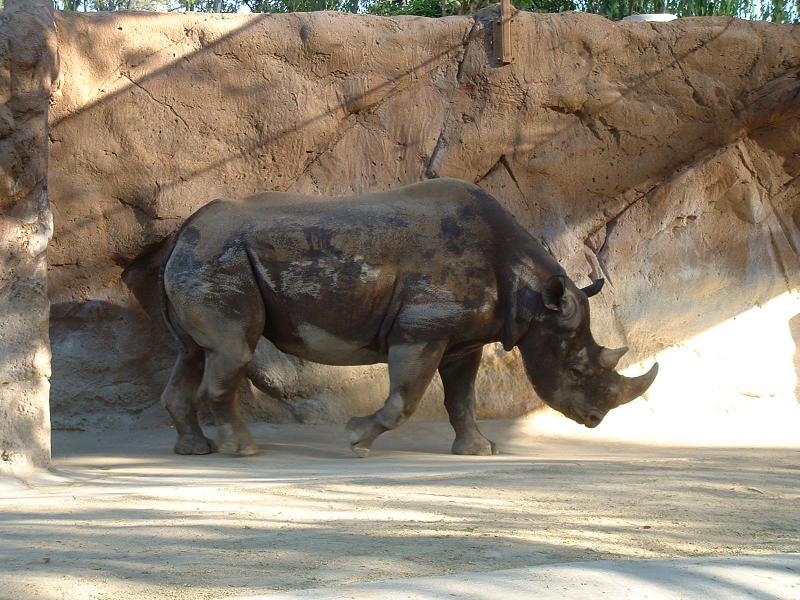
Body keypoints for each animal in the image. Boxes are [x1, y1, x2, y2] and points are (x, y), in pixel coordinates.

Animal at [160, 178, 658, 457]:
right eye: (575, 370)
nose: (594, 420)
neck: (534, 298)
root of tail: (184, 229)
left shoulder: (463, 339)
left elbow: (462, 397)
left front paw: (480, 451)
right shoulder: (422, 329)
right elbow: (406, 398)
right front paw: (356, 440)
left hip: (204, 256)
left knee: (192, 353)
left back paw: (194, 449)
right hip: (218, 257)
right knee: (232, 351)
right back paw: (241, 450)